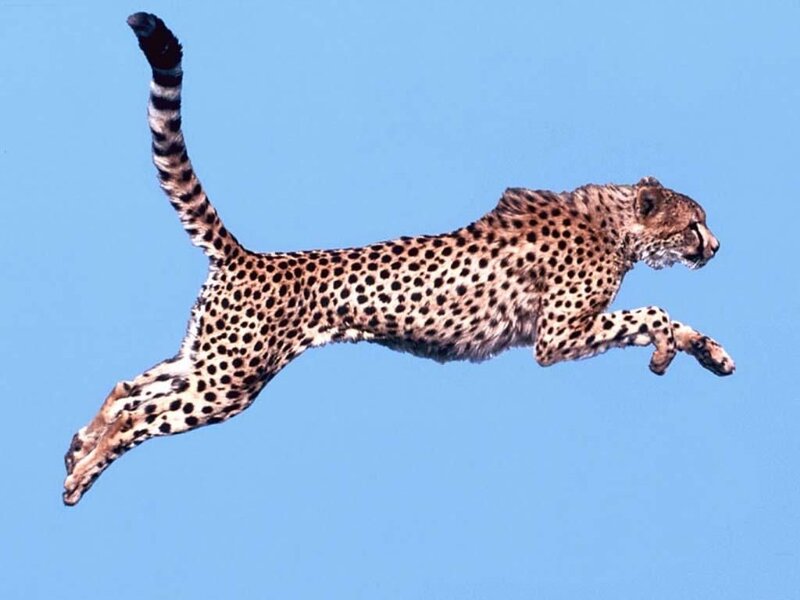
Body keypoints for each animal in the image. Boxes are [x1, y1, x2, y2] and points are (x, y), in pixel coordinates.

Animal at [63, 12, 734, 506]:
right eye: (694, 224)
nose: (716, 246)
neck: (615, 224)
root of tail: (248, 255)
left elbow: (668, 320)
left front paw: (709, 354)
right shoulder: (558, 337)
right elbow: (653, 311)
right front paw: (672, 347)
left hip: (210, 359)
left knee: (130, 386)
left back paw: (78, 445)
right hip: (229, 379)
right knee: (142, 412)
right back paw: (83, 471)